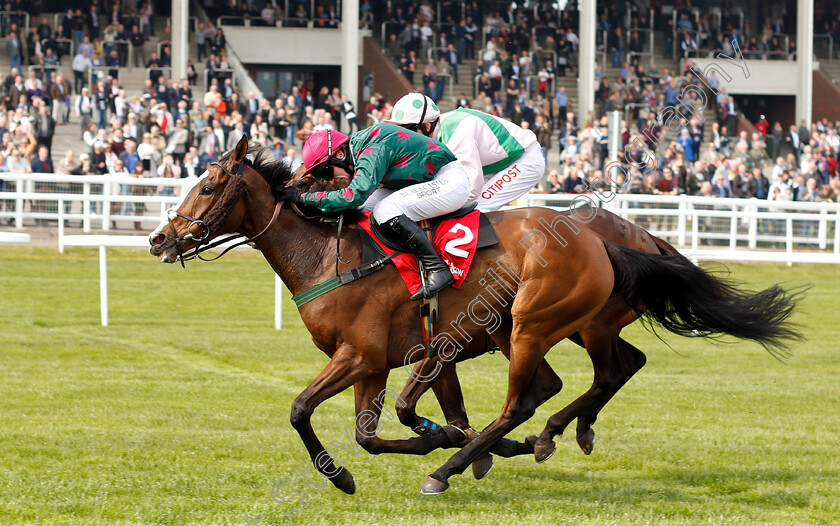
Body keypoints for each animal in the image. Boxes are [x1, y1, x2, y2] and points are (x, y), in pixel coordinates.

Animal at [148, 138, 804, 498]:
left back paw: (466, 462)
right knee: (594, 375)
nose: (159, 238)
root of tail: (604, 239)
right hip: (554, 328)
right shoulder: (384, 361)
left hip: (538, 324)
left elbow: (301, 410)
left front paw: (349, 473)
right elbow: (372, 432)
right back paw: (540, 437)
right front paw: (438, 441)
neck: (331, 256)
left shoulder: (362, 355)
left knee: (535, 395)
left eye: (208, 185)